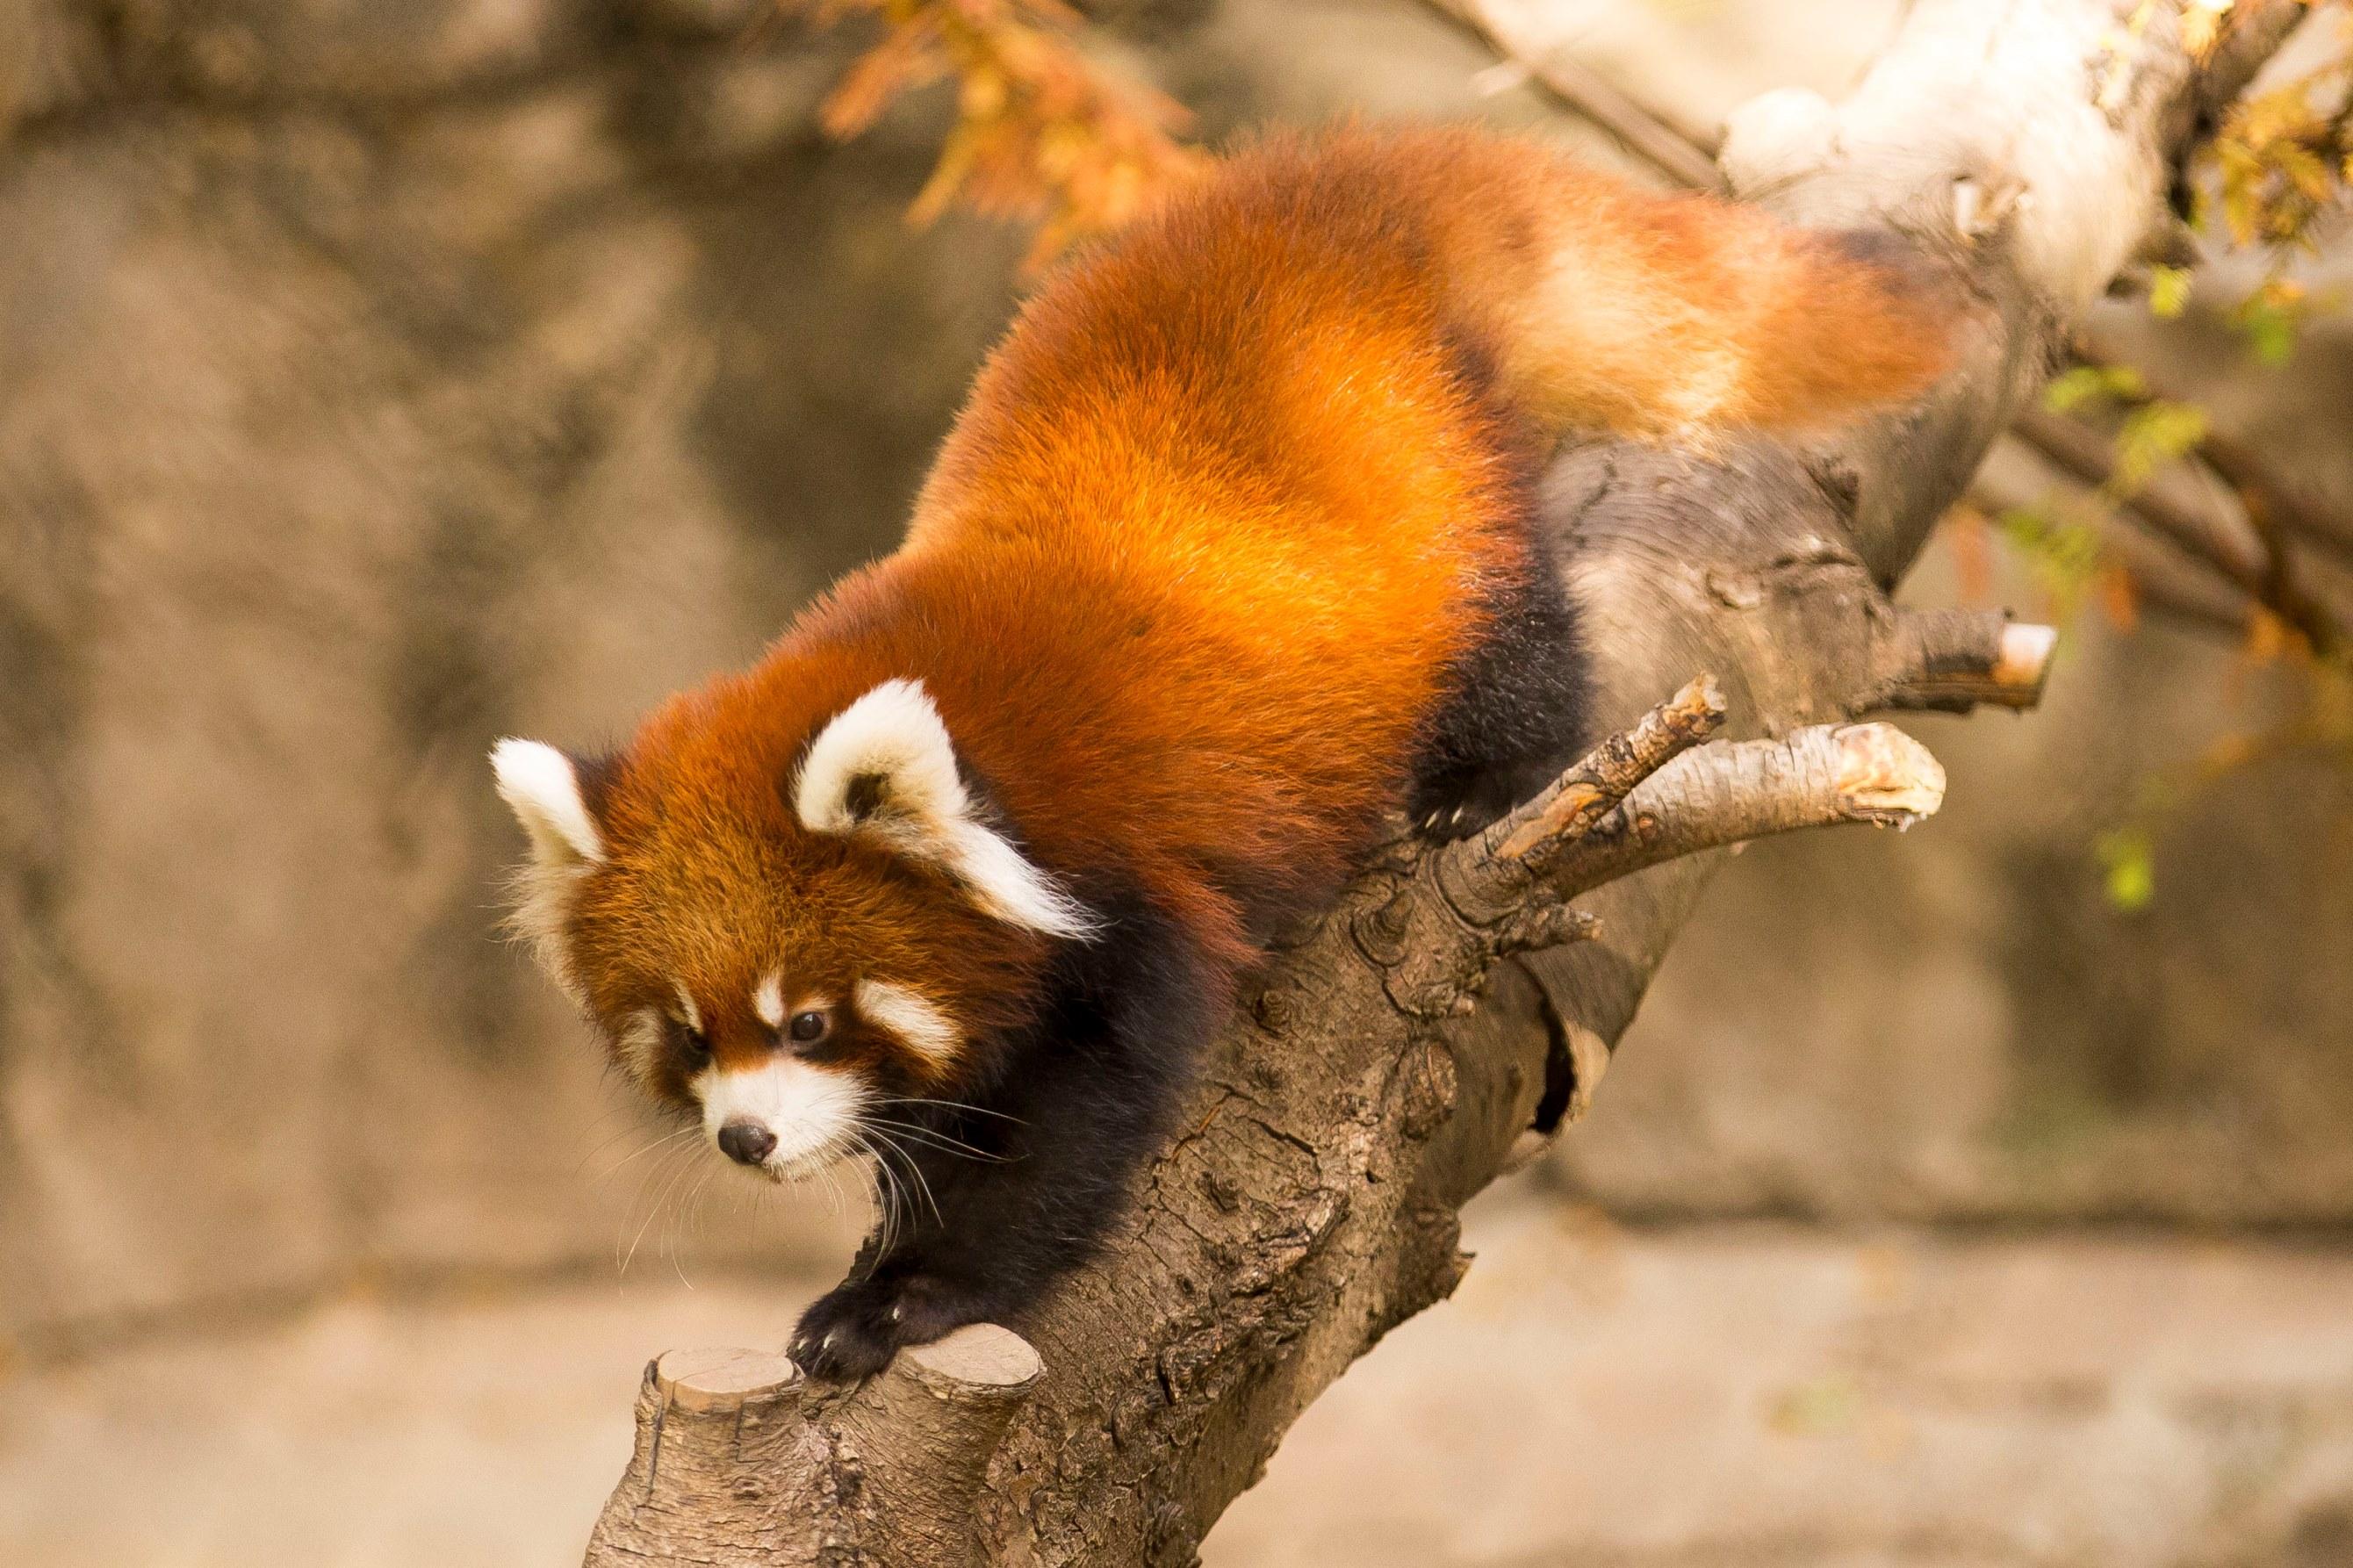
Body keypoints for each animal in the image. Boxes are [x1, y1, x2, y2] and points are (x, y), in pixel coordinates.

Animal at [496, 125, 1948, 1365]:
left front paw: (901, 1297)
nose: (745, 1138)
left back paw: (1479, 786)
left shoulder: (1121, 889)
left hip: (1432, 488)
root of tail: (1312, 193)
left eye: (805, 1020)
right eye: (688, 1036)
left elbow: (1073, 1122)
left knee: (1512, 632)